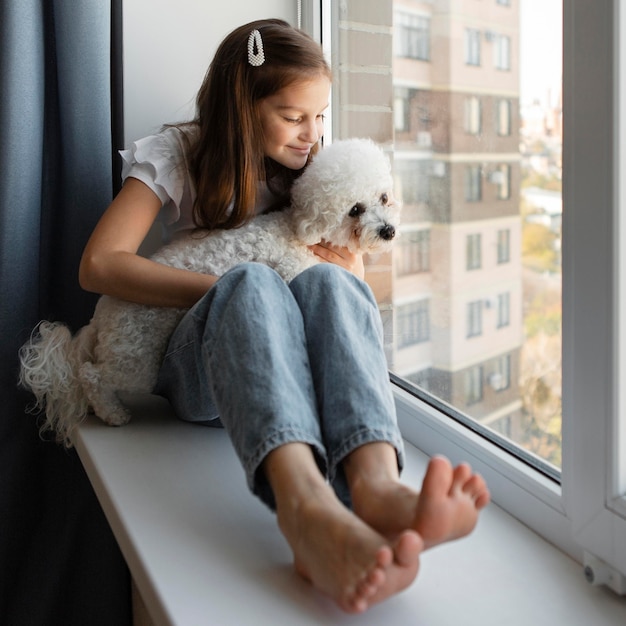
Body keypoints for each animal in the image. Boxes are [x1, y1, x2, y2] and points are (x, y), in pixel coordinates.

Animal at [20, 139, 400, 446]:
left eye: (383, 197)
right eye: (355, 210)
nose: (389, 231)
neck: (300, 231)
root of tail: (99, 316)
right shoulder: (294, 270)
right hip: (138, 359)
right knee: (91, 374)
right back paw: (113, 413)